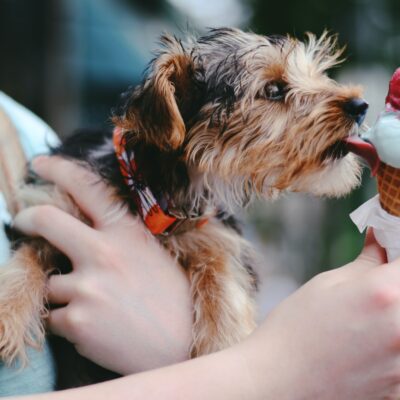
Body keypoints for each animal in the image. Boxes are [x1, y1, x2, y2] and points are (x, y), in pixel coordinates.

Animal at [0, 26, 368, 386]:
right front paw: (8, 312)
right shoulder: (51, 204)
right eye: (274, 89)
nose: (360, 105)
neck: (152, 191)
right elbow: (29, 254)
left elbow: (223, 280)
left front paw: (223, 343)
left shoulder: (216, 235)